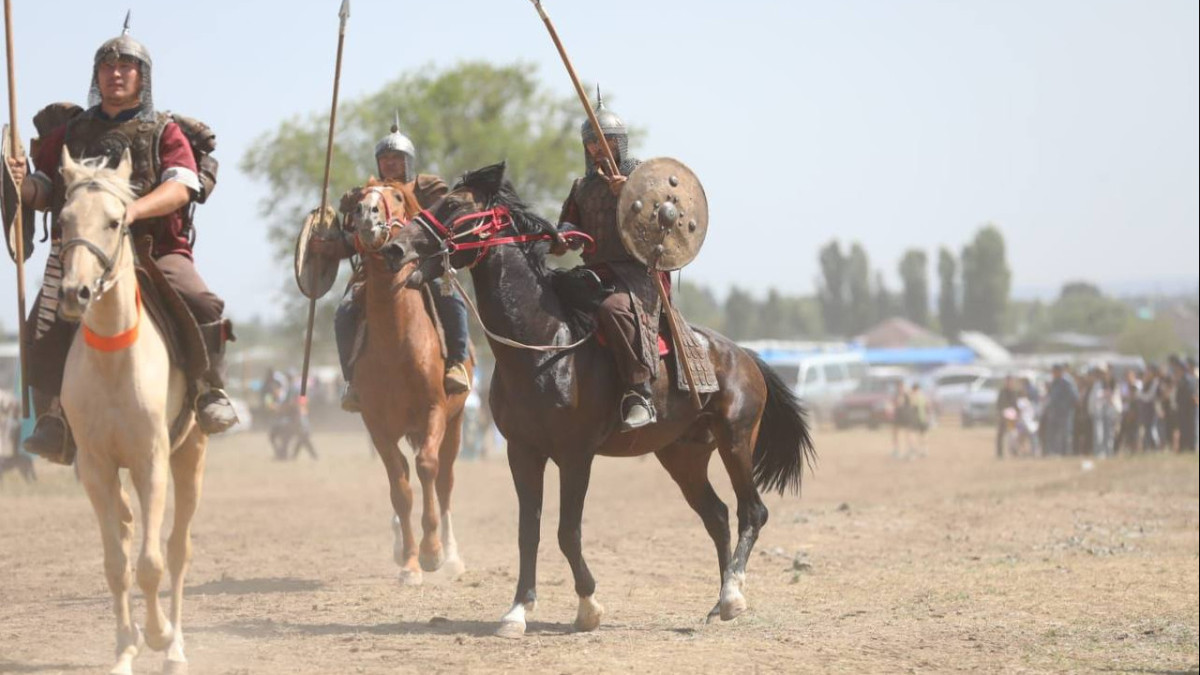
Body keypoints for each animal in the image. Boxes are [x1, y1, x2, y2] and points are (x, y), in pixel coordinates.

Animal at [57, 148, 206, 672]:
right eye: (63, 220)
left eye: (115, 221)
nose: (75, 293)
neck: (113, 361)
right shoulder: (97, 468)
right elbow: (117, 564)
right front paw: (125, 648)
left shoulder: (151, 462)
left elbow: (152, 563)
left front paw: (159, 636)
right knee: (124, 532)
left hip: (190, 456)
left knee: (178, 549)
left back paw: (177, 647)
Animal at [345, 180, 470, 583]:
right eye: (357, 199)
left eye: (398, 196)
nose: (366, 214)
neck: (396, 343)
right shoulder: (377, 425)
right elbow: (399, 486)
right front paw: (412, 562)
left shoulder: (435, 410)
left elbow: (427, 468)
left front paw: (432, 553)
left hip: (456, 424)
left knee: (445, 481)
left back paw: (452, 555)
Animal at [384, 163, 816, 634]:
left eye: (456, 204)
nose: (394, 247)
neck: (545, 345)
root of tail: (744, 355)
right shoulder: (523, 452)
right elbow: (528, 531)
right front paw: (518, 610)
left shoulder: (576, 456)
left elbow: (566, 532)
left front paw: (588, 606)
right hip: (682, 455)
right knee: (717, 516)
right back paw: (719, 600)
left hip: (735, 440)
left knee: (751, 511)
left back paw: (734, 595)